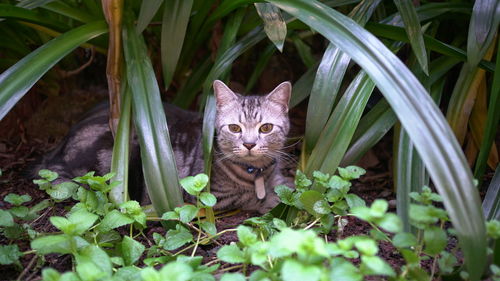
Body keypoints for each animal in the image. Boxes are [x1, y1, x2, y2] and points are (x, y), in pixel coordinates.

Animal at [33, 80, 292, 212]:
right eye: (235, 128)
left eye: (266, 128)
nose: (249, 144)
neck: (258, 174)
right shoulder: (206, 195)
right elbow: (250, 199)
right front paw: (270, 201)